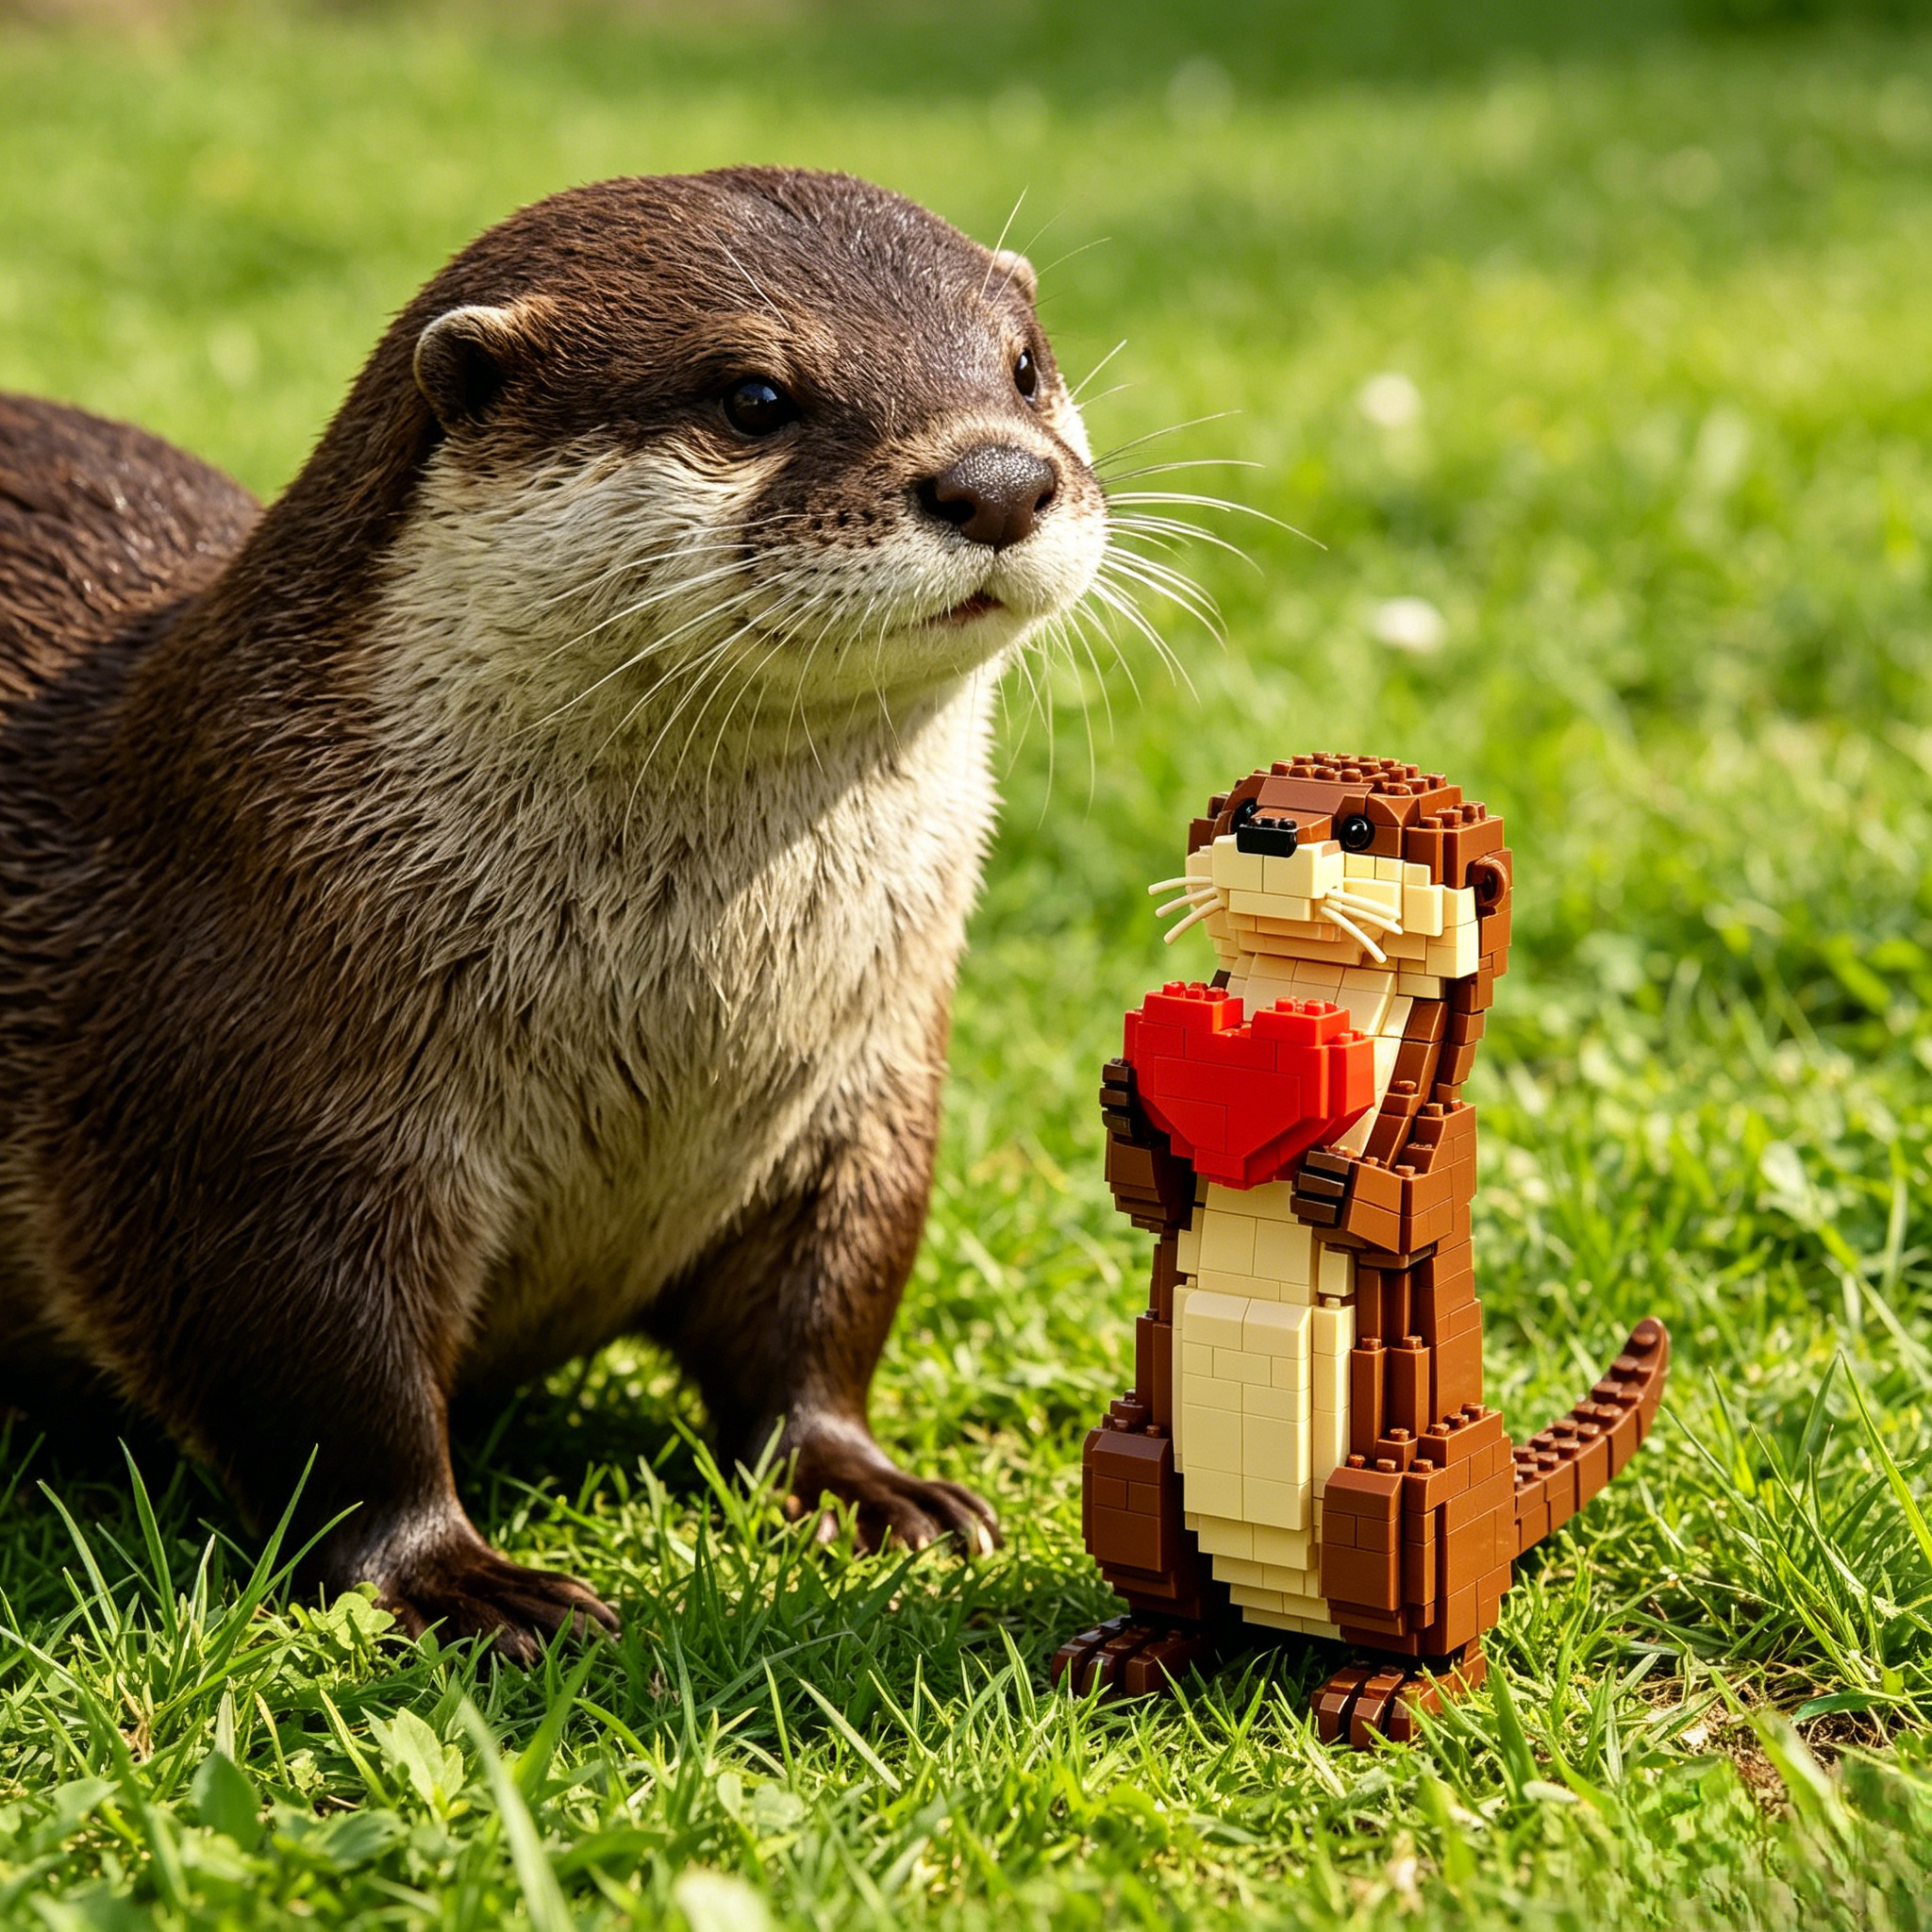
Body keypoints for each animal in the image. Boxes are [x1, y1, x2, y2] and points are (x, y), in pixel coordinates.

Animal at [0, 169, 1111, 1660]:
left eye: (1023, 366)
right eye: (753, 395)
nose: (999, 478)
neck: (671, 1037)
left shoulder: (863, 1096)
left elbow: (822, 1315)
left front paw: (873, 1486)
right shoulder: (252, 1111)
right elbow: (325, 1390)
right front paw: (460, 1579)